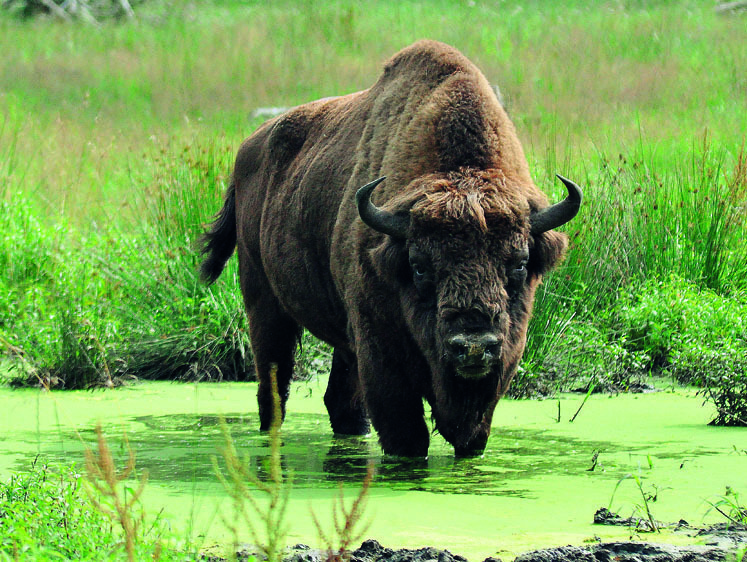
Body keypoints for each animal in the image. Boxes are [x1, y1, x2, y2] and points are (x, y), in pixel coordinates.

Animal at [202, 42, 580, 456]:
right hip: (263, 303)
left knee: (338, 399)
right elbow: (407, 436)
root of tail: (247, 150)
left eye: (519, 264)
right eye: (419, 266)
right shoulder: (380, 354)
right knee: (273, 388)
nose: (473, 347)